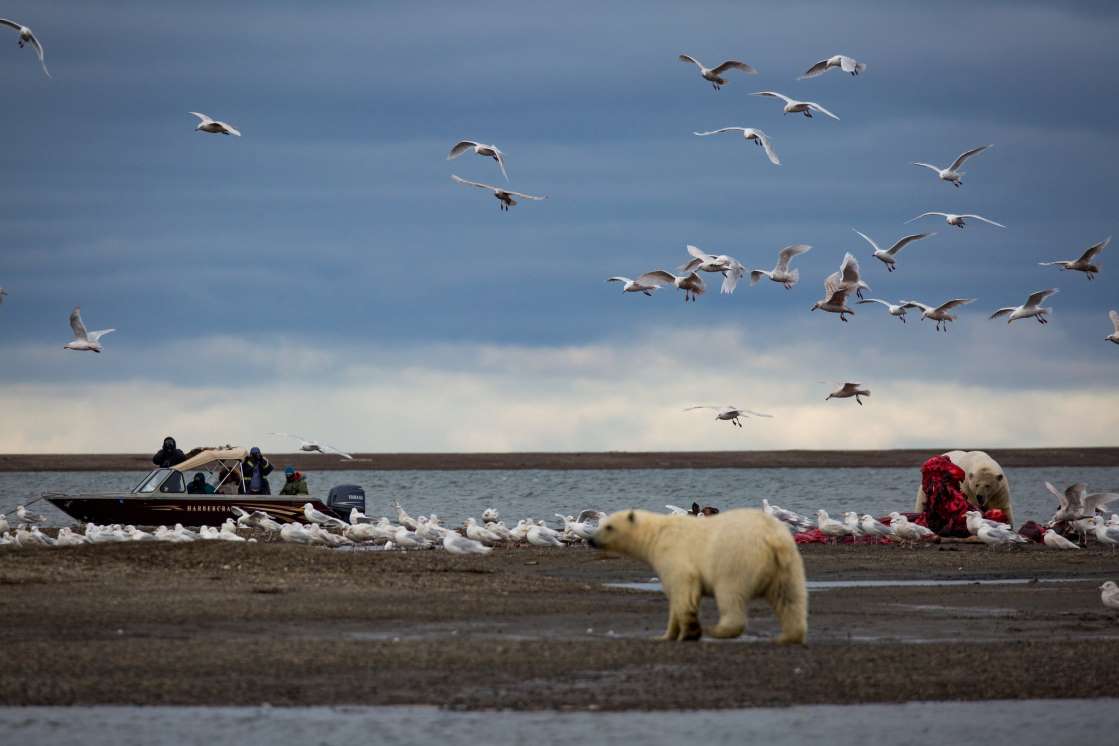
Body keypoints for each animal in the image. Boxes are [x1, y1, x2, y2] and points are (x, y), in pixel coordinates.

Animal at [595, 510, 805, 644]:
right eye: (602, 524)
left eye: (608, 526)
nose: (591, 539)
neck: (657, 534)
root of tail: (772, 539)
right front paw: (667, 635)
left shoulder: (674, 556)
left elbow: (683, 592)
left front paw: (689, 633)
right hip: (786, 564)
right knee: (789, 597)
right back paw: (788, 636)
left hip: (737, 559)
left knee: (730, 594)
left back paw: (718, 630)